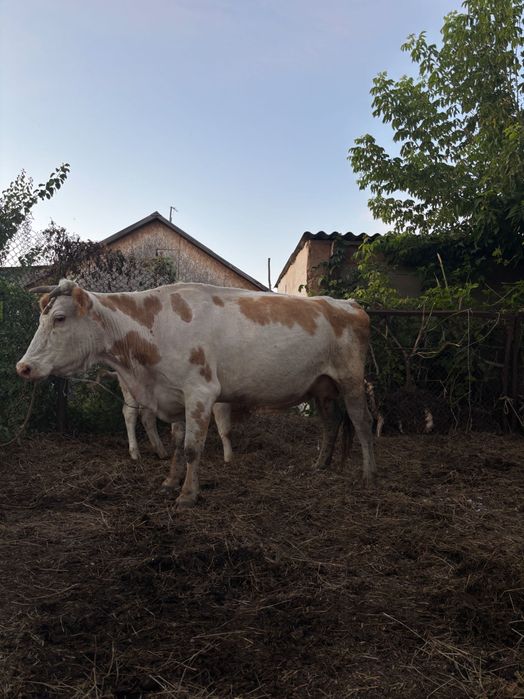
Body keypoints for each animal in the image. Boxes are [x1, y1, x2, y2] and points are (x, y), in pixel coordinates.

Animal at [17, 279, 376, 508]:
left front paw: (188, 495)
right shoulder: (174, 394)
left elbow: (192, 448)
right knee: (331, 423)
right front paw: (169, 483)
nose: (24, 367)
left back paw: (367, 474)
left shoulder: (200, 391)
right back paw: (320, 466)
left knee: (361, 423)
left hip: (351, 380)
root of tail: (349, 304)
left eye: (59, 318)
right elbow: (177, 443)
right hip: (321, 387)